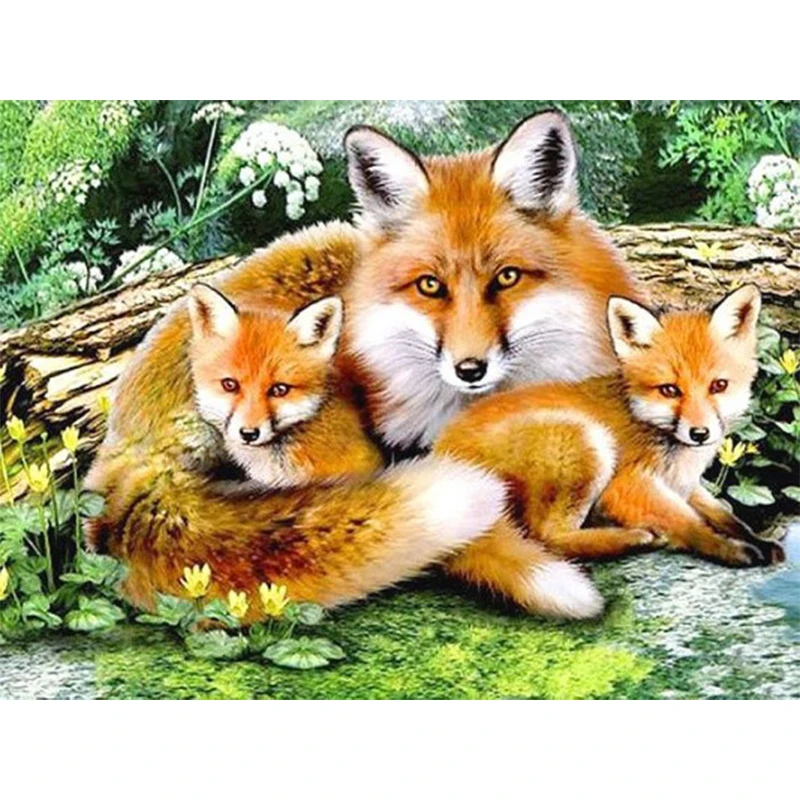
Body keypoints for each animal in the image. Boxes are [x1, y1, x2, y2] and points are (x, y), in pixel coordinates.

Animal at [435, 285, 785, 568]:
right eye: (670, 390)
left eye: (718, 386)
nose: (700, 434)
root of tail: (441, 452)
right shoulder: (626, 486)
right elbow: (690, 524)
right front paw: (727, 548)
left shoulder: (684, 485)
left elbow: (724, 515)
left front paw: (757, 540)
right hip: (587, 442)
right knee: (547, 538)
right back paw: (633, 538)